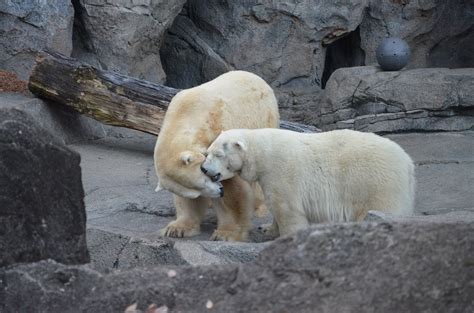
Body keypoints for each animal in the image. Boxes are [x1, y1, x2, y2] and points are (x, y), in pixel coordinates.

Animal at [154, 70, 280, 240]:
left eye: (206, 175)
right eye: (195, 192)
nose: (219, 192)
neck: (186, 115)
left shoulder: (220, 136)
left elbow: (233, 190)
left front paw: (226, 234)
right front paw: (176, 229)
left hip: (264, 117)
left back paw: (260, 207)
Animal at [202, 128, 416, 235]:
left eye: (218, 154)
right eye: (207, 152)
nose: (204, 169)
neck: (263, 151)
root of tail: (408, 162)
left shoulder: (280, 171)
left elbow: (287, 209)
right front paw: (267, 228)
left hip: (376, 183)